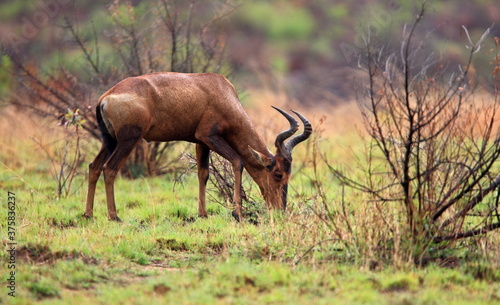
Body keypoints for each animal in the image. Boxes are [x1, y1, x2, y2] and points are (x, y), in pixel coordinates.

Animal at [84, 71, 312, 221]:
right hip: (128, 140)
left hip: (109, 140)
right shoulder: (209, 136)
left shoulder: (201, 142)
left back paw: (88, 214)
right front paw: (237, 214)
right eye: (278, 174)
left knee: (94, 166)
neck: (220, 91)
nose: (280, 210)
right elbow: (237, 162)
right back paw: (114, 217)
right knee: (110, 168)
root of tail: (105, 97)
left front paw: (202, 214)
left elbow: (203, 174)